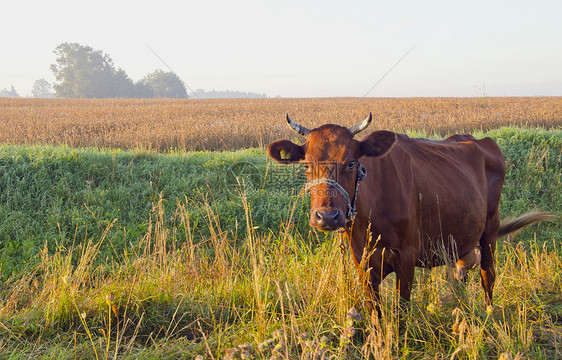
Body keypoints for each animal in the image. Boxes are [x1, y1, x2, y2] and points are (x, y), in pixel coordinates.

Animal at [266, 114, 552, 316]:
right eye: (306, 165)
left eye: (351, 162)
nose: (327, 216)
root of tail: (478, 140)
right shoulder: (362, 261)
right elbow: (375, 312)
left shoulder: (406, 256)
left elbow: (402, 311)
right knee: (460, 273)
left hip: (490, 229)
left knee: (488, 276)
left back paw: (488, 315)